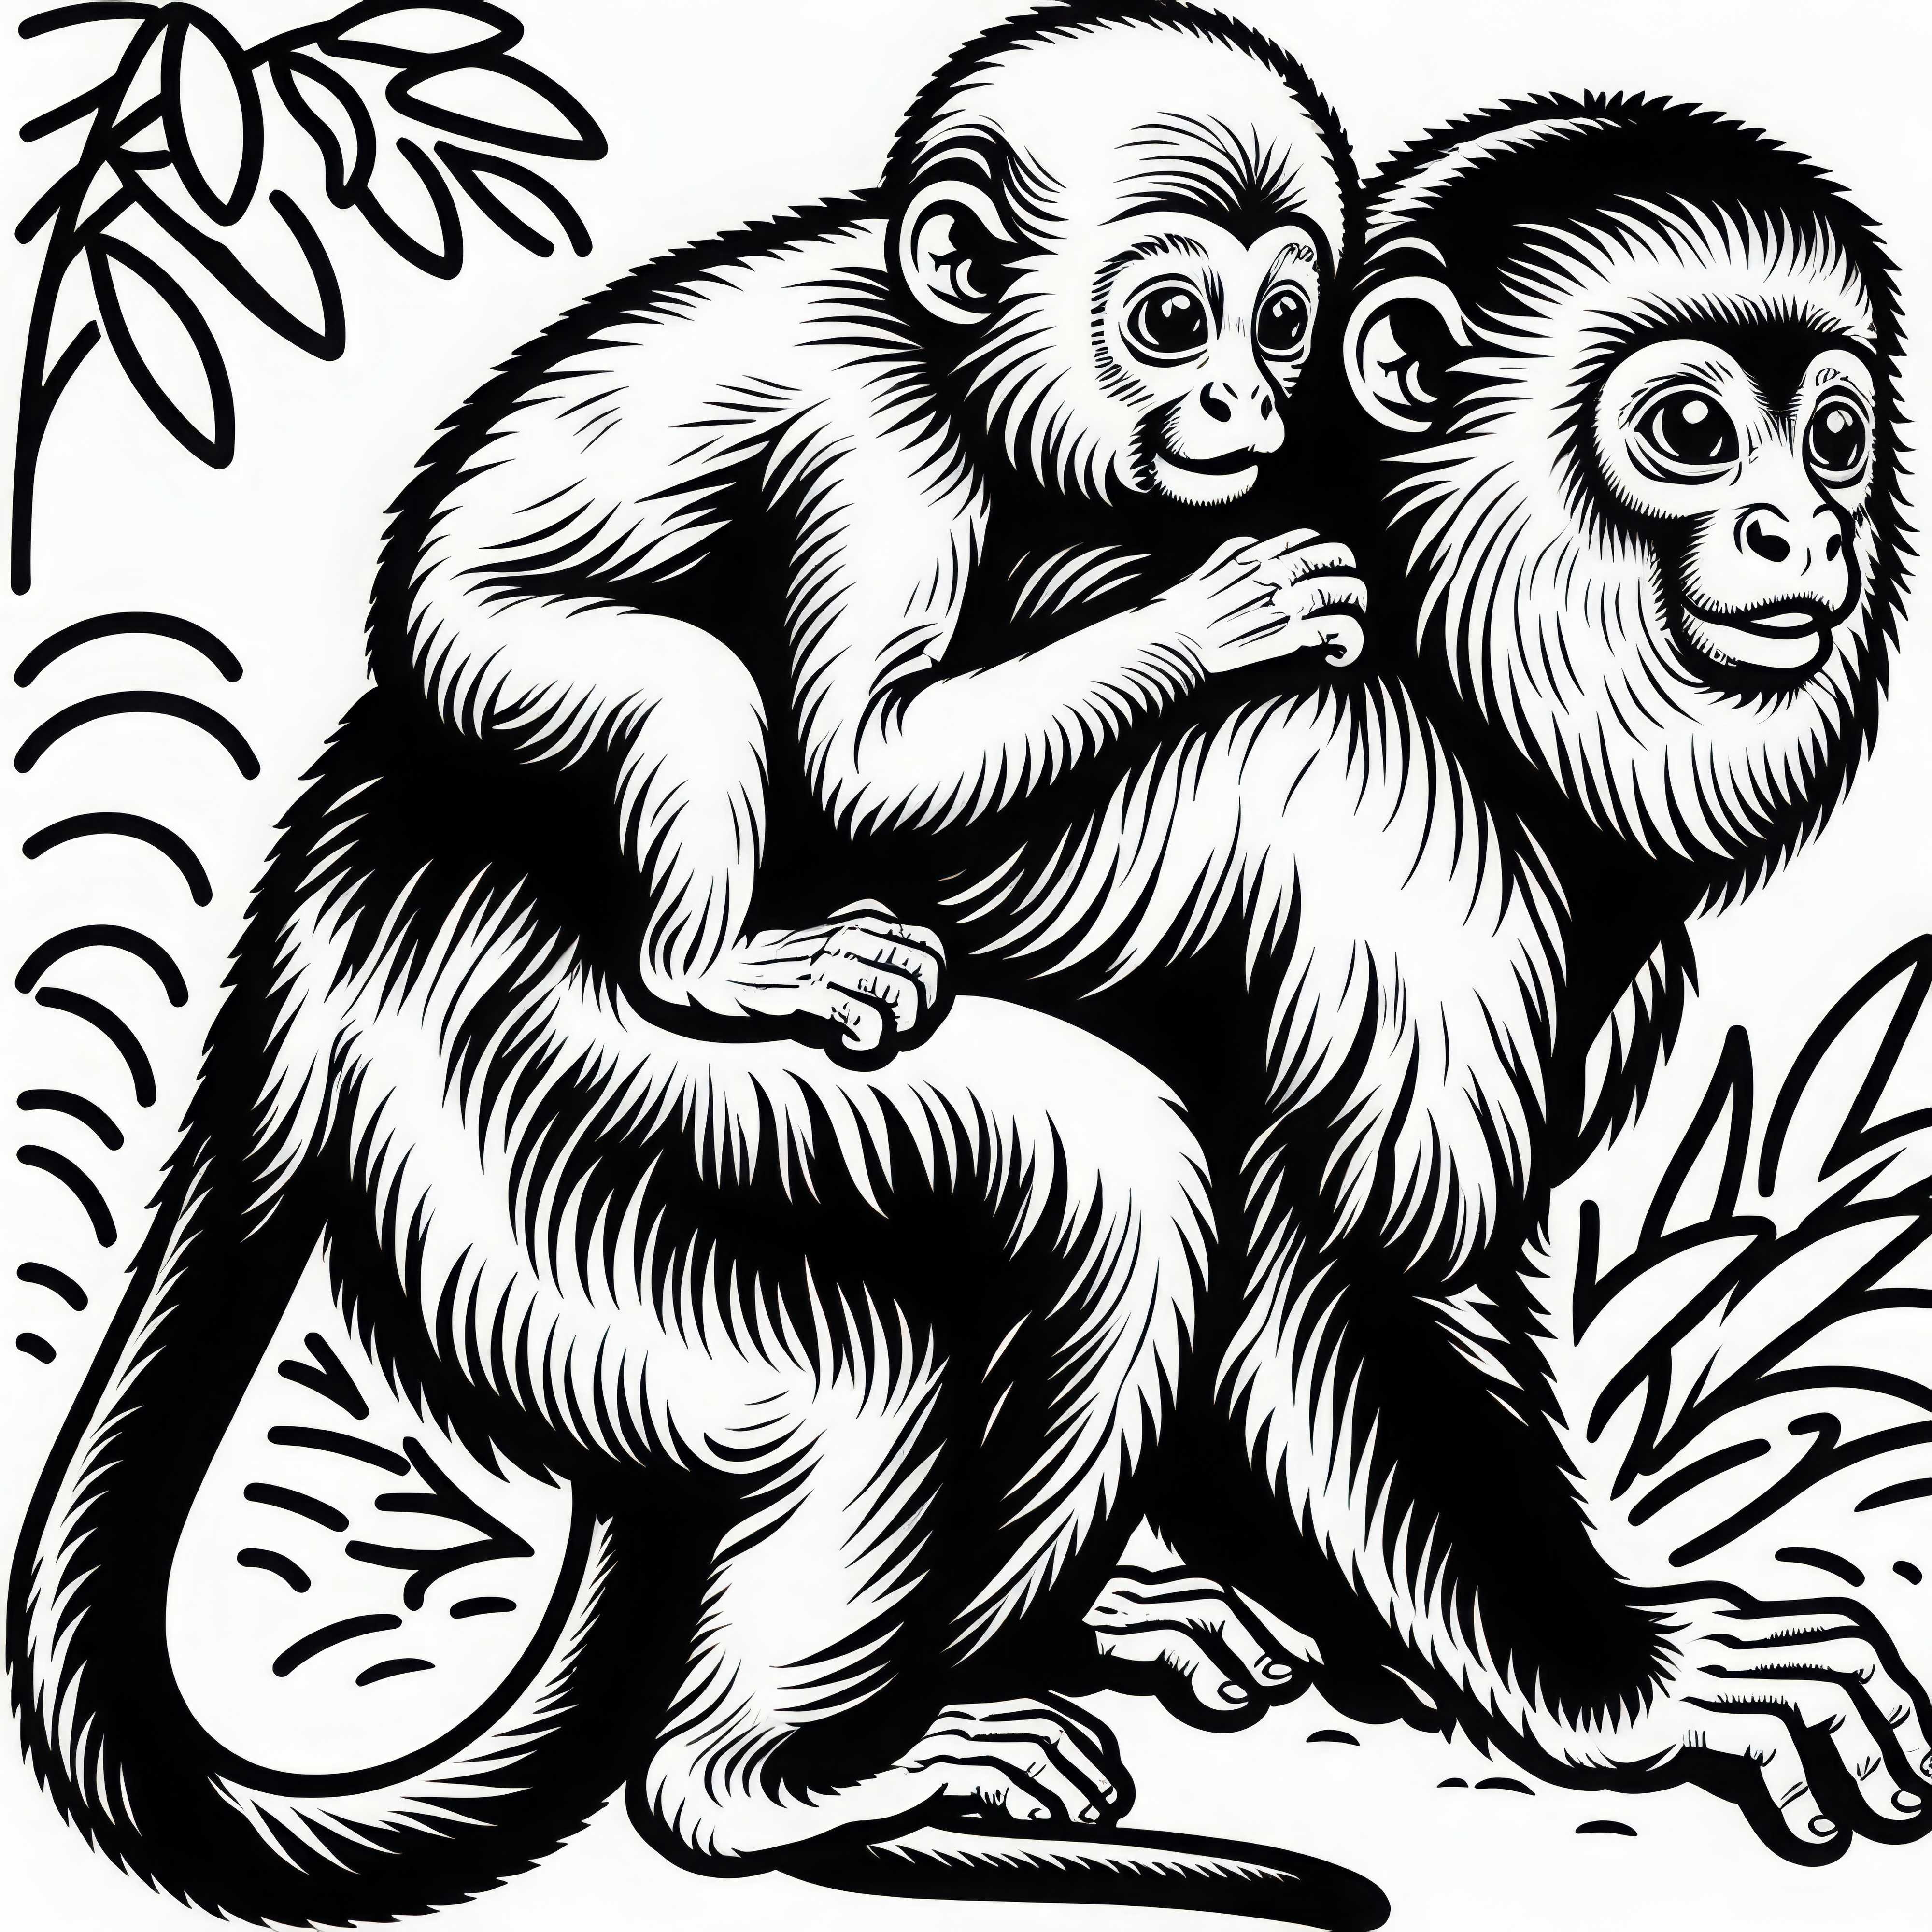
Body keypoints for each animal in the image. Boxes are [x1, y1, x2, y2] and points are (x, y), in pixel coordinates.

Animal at [10, 7, 1391, 1928]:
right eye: (1175, 318)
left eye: (1283, 319)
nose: (1247, 409)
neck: (953, 366)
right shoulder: (888, 468)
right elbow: (864, 758)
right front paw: (1215, 614)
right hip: (513, 1128)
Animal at [939, 93, 1932, 1859]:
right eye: (1693, 429)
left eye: (1833, 437)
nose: (1808, 527)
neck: (1423, 638)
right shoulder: (1364, 820)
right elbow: (1335, 1283)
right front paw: (1641, 1685)